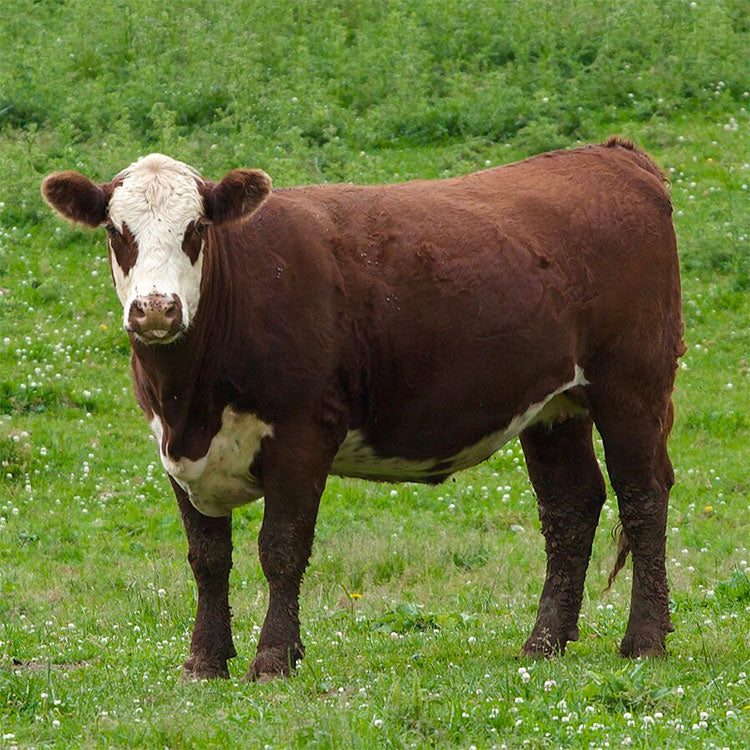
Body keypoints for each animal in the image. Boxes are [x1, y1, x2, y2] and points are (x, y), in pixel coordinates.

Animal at [42, 137, 684, 681]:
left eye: (195, 227)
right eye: (116, 231)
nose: (156, 309)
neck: (191, 399)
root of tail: (611, 154)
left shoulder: (303, 434)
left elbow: (281, 550)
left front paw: (273, 659)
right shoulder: (175, 452)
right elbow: (207, 559)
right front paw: (205, 661)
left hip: (632, 385)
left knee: (643, 497)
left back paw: (645, 641)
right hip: (555, 406)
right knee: (571, 507)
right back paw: (544, 642)